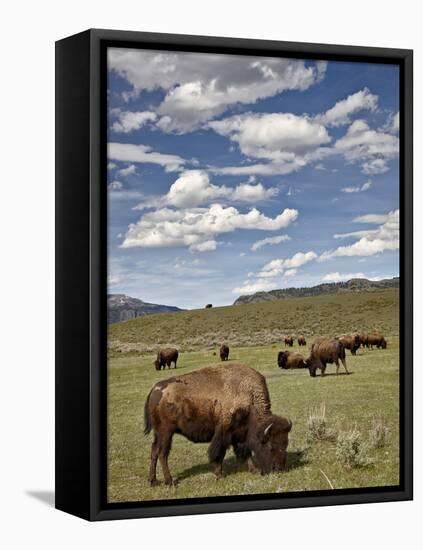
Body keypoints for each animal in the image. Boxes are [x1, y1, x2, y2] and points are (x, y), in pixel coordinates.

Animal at [144, 366, 294, 488]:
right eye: (271, 446)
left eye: (285, 444)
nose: (280, 469)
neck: (249, 397)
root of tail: (155, 389)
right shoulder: (224, 433)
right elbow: (219, 454)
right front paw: (219, 475)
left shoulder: (241, 434)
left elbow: (245, 452)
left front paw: (254, 470)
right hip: (166, 432)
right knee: (163, 454)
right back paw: (170, 482)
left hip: (159, 434)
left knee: (154, 451)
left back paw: (153, 481)